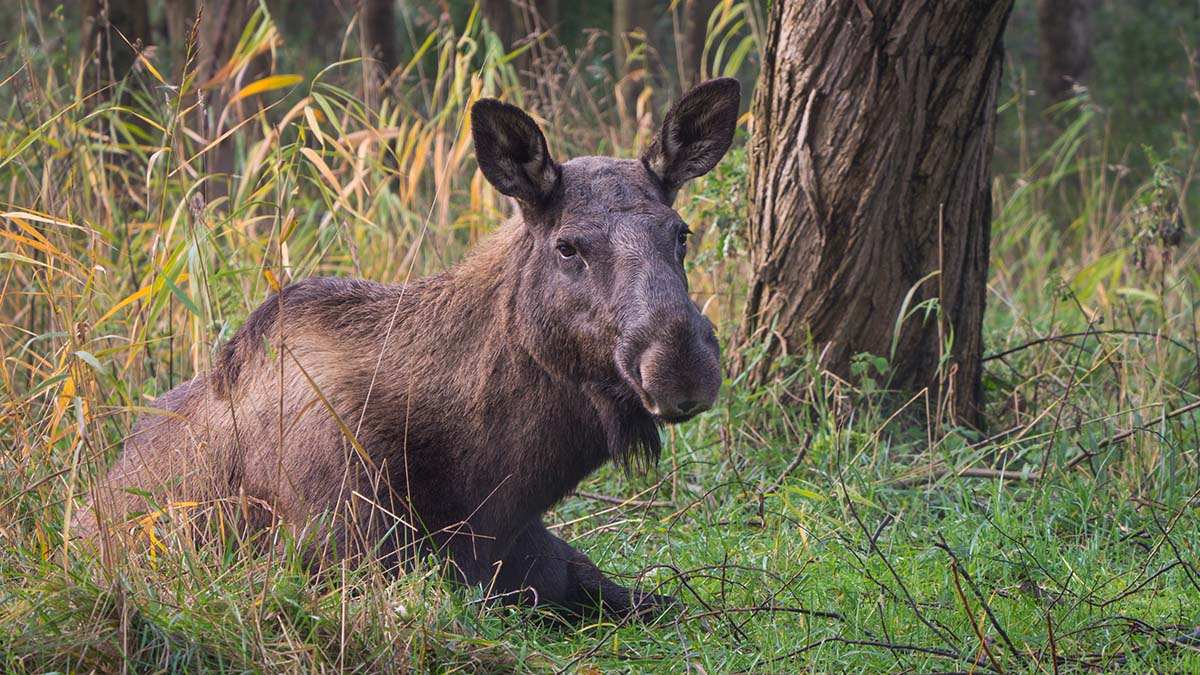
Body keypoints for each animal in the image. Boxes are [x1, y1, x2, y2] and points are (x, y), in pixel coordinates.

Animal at [77, 77, 739, 614]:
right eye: (568, 246)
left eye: (681, 233)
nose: (681, 366)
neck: (486, 490)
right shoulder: (336, 554)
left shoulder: (550, 562)